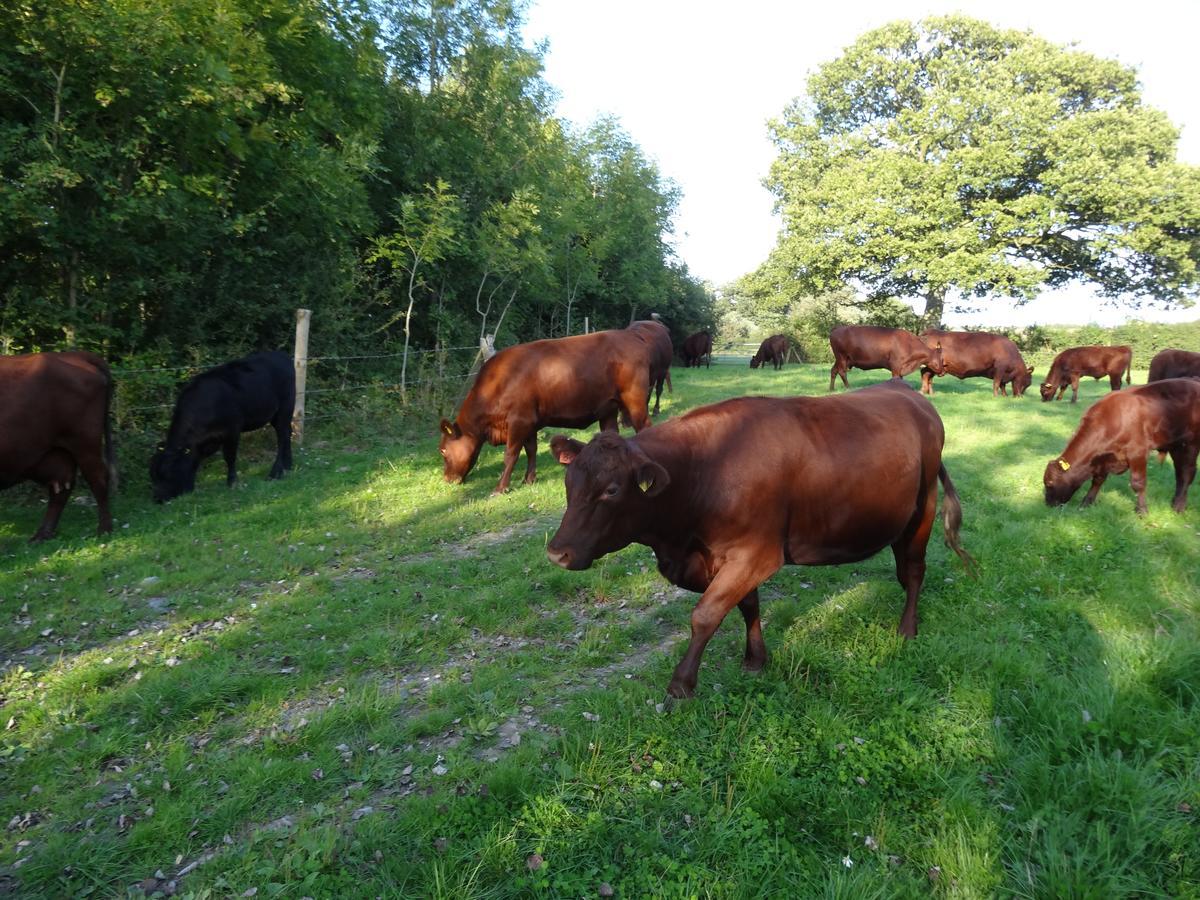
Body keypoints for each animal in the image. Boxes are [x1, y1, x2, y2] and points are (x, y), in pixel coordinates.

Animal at [0, 352, 115, 542]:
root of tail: (74, 355)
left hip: (85, 444)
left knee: (98, 479)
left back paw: (104, 530)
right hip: (58, 452)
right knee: (61, 489)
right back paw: (42, 535)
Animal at [150, 350, 295, 504]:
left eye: (167, 473)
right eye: (152, 476)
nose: (157, 498)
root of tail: (281, 355)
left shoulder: (232, 430)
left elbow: (229, 457)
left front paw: (232, 483)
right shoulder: (206, 441)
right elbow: (195, 460)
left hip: (284, 409)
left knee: (282, 437)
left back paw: (276, 472)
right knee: (287, 434)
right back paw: (288, 466)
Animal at [436, 328, 652, 494]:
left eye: (443, 450)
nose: (447, 479)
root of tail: (631, 335)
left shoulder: (519, 421)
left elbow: (510, 454)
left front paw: (500, 488)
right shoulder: (529, 423)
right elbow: (531, 450)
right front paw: (528, 479)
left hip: (635, 400)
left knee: (645, 427)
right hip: (608, 408)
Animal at [544, 376, 974, 700]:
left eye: (612, 490)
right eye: (569, 481)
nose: (556, 553)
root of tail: (907, 392)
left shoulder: (756, 553)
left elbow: (705, 614)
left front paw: (681, 684)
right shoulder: (730, 555)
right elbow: (747, 605)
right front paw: (755, 660)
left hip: (922, 510)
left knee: (913, 572)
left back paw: (907, 630)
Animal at [1041, 376, 1200, 513]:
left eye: (1049, 483)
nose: (1048, 504)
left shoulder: (1137, 453)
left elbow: (1138, 483)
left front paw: (1142, 510)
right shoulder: (1103, 458)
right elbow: (1097, 480)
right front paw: (1087, 502)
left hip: (1191, 444)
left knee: (1187, 473)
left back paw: (1179, 506)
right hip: (1176, 445)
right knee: (1180, 473)